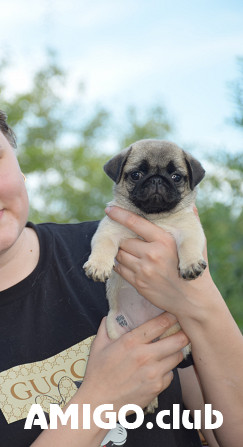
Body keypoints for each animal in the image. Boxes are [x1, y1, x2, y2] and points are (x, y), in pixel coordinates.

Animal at [82, 139, 206, 412]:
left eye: (176, 176)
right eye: (137, 174)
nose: (157, 180)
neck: (154, 218)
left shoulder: (189, 228)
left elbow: (190, 245)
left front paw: (191, 264)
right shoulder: (109, 230)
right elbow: (103, 247)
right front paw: (98, 265)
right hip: (115, 330)